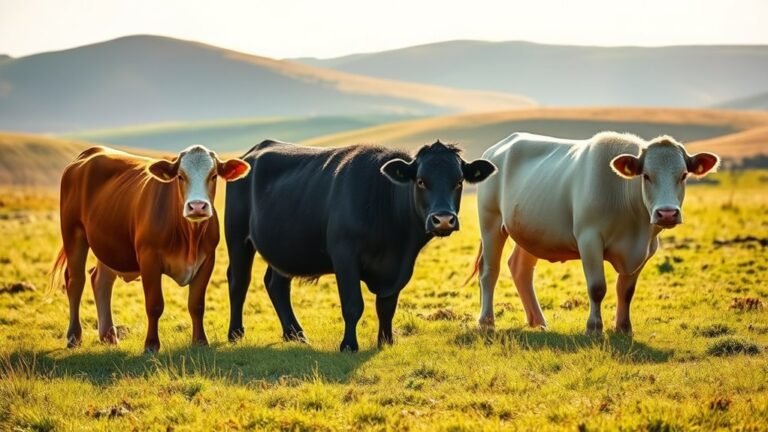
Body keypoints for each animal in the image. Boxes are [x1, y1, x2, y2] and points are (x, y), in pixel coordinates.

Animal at [51, 145, 250, 352]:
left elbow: (196, 305)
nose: (197, 206)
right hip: (74, 233)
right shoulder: (149, 259)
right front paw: (151, 344)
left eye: (213, 175)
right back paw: (74, 336)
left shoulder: (207, 260)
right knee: (75, 281)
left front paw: (200, 341)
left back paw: (108, 335)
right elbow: (154, 305)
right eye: (180, 176)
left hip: (109, 244)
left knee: (100, 280)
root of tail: (92, 152)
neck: (189, 237)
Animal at [225, 140, 496, 352]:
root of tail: (255, 150)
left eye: (459, 181)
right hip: (237, 238)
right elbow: (353, 304)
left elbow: (386, 307)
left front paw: (386, 342)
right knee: (239, 281)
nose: (443, 219)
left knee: (277, 285)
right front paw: (348, 345)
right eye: (420, 181)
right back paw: (236, 333)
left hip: (285, 247)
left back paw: (296, 334)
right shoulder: (344, 255)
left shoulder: (401, 265)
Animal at [470, 132, 719, 334]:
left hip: (531, 231)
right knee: (489, 271)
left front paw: (623, 328)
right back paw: (486, 322)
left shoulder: (647, 248)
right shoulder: (589, 239)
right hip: (491, 222)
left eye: (684, 175)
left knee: (520, 269)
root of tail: (498, 147)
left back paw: (538, 321)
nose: (667, 213)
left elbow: (626, 290)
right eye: (646, 175)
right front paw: (594, 327)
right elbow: (597, 287)